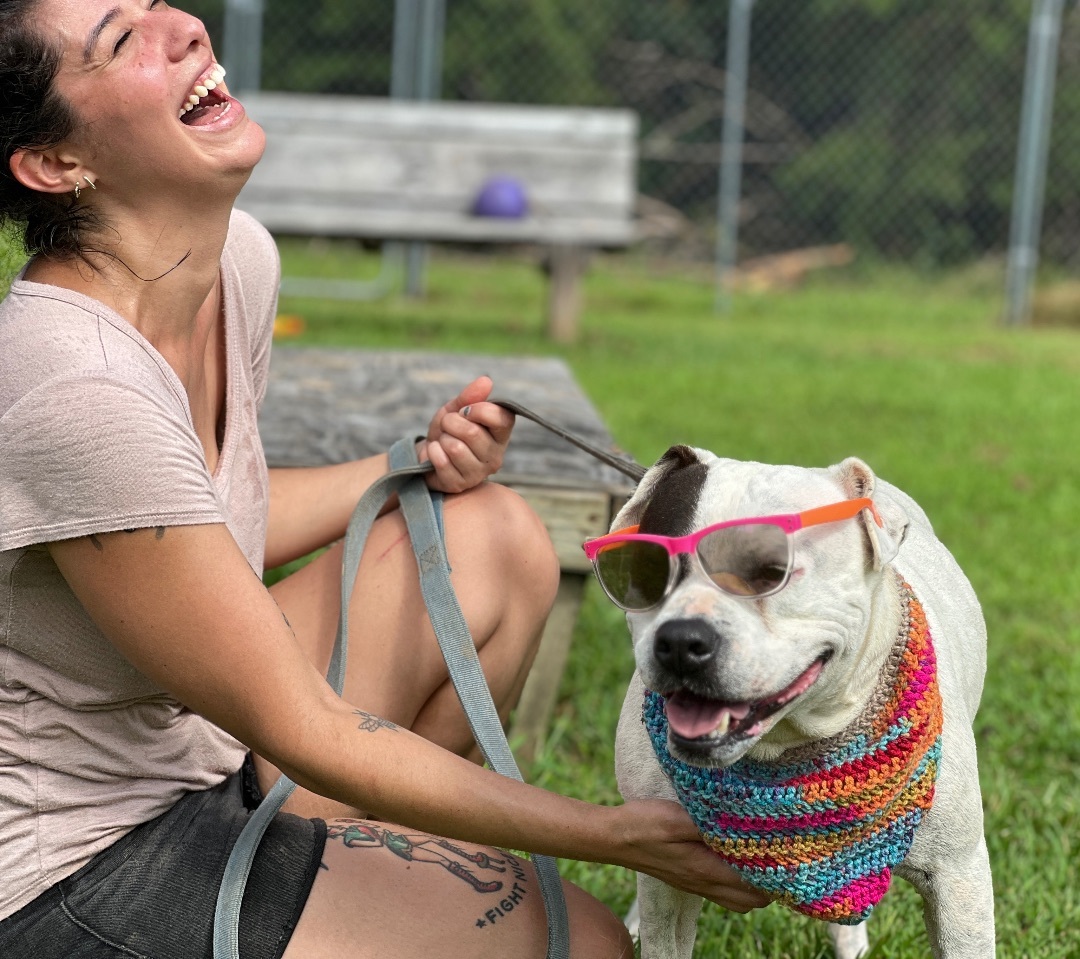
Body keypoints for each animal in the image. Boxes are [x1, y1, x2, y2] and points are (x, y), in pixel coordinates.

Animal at [596, 447, 989, 959]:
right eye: (651, 570)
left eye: (771, 570)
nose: (680, 640)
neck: (785, 746)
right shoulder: (665, 867)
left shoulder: (957, 878)